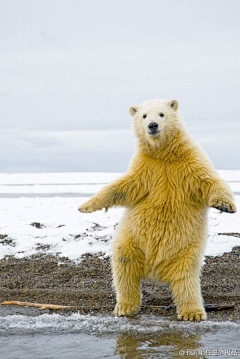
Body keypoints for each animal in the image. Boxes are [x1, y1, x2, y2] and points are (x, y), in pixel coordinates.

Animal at [79, 99, 236, 324]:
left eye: (161, 114)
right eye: (144, 115)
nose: (152, 125)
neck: (164, 154)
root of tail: (155, 271)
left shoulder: (190, 162)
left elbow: (209, 181)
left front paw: (226, 205)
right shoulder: (145, 168)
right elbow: (122, 187)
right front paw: (85, 206)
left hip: (186, 250)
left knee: (186, 278)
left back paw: (193, 312)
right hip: (132, 239)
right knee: (124, 265)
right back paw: (125, 306)